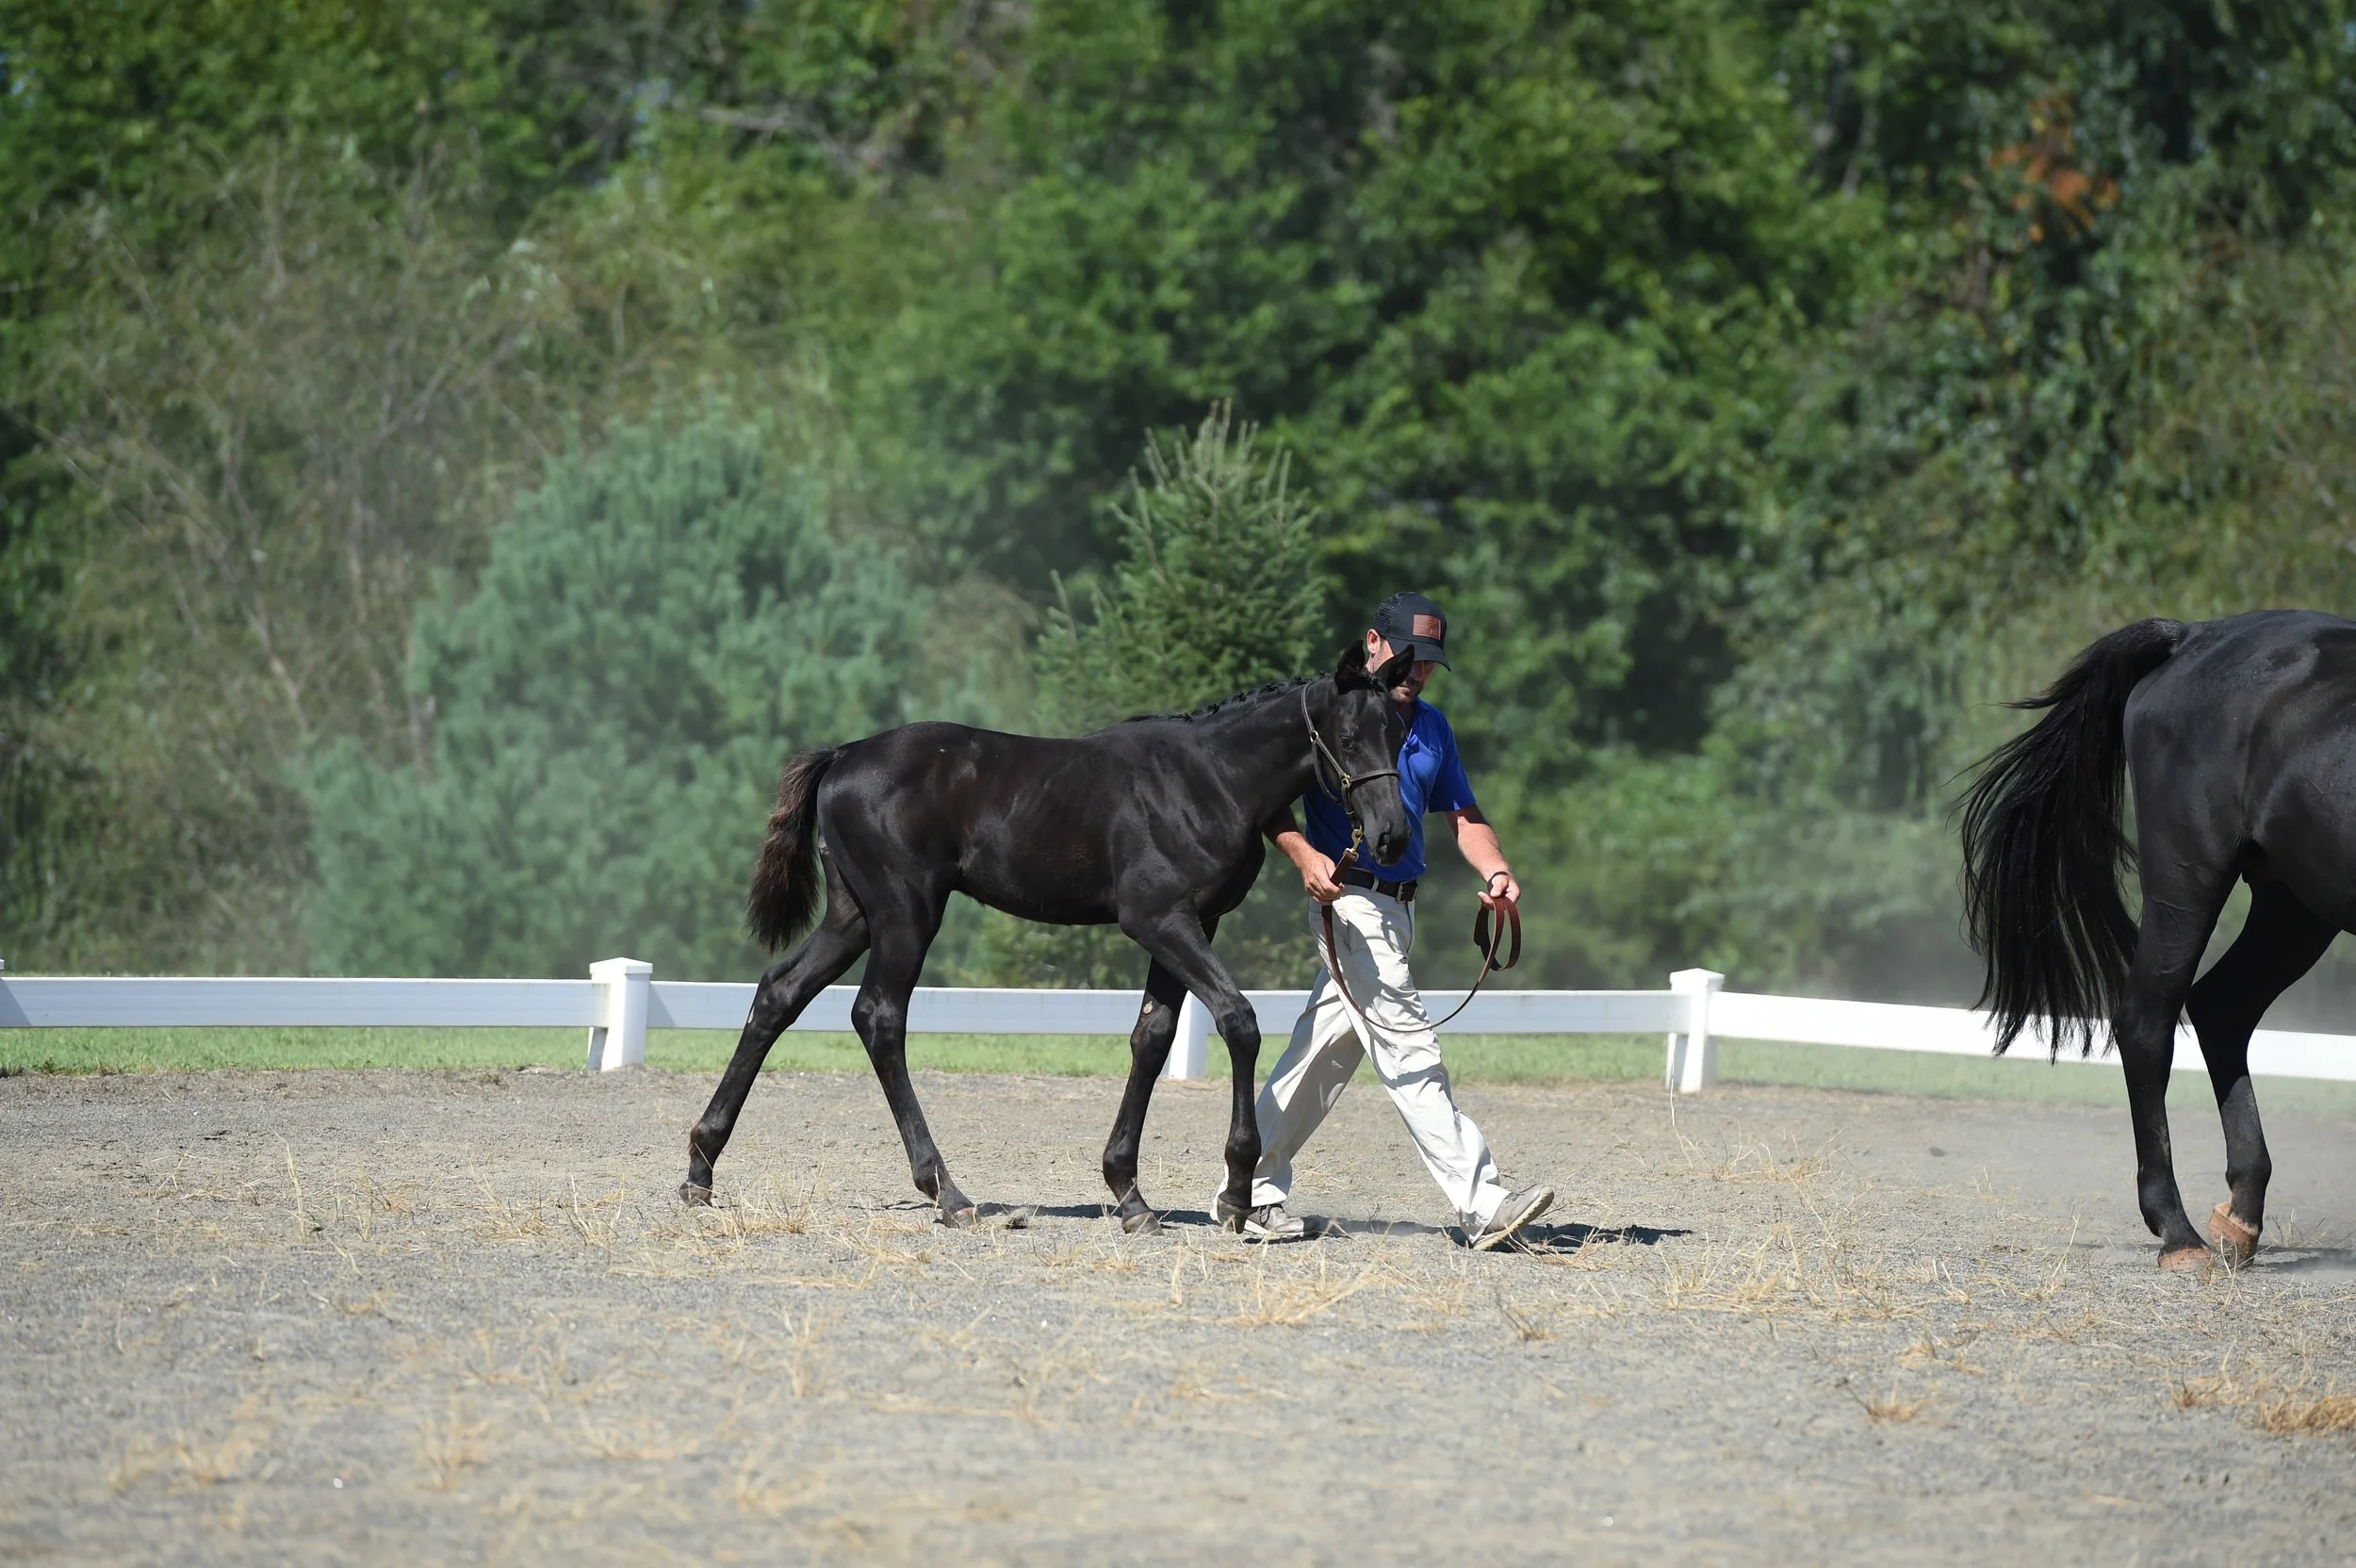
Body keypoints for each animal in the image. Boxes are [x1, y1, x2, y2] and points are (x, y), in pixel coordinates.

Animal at [680, 641, 1419, 1234]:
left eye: (1401, 730)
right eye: (1348, 735)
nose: (1390, 836)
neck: (1207, 778)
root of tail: (841, 756)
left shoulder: (1191, 923)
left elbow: (1152, 1037)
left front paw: (1130, 1195)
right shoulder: (1159, 919)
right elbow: (1237, 1020)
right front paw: (1237, 1193)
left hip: (853, 914)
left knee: (780, 994)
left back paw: (700, 1167)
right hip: (905, 911)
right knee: (879, 1017)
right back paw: (948, 1193)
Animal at [1960, 609, 2356, 1270]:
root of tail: (2194, 636)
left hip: (2296, 903)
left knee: (2223, 1006)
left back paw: (2238, 1220)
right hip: (2189, 877)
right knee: (2149, 1020)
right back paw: (2179, 1233)